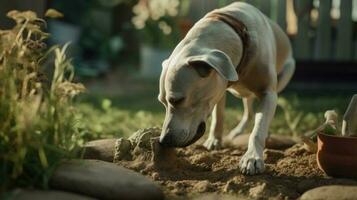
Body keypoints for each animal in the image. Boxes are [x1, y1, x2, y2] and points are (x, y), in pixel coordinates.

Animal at [157, 1, 294, 175]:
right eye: (162, 102)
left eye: (177, 100)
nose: (164, 140)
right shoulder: (218, 88)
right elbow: (219, 116)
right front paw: (214, 140)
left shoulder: (268, 93)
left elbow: (258, 129)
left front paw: (252, 157)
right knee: (249, 111)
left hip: (285, 74)